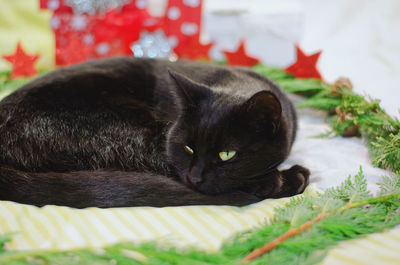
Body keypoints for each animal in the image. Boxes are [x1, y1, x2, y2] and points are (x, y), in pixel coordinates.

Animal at [0, 56, 310, 207]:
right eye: (188, 148)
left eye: (227, 154)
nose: (196, 177)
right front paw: (283, 178)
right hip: (133, 131)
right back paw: (288, 179)